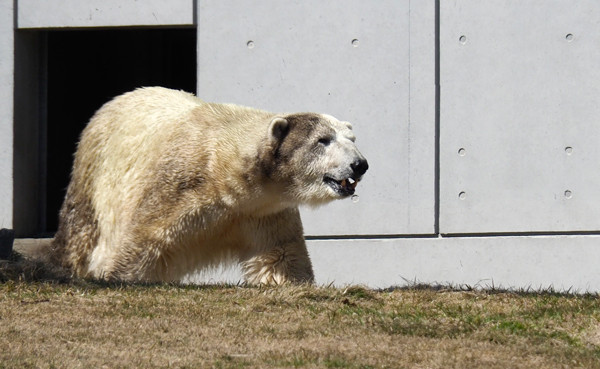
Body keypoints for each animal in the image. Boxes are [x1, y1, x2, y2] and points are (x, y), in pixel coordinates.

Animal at [51, 87, 368, 284]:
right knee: (80, 231)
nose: (360, 164)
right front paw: (118, 277)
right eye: (322, 140)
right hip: (94, 173)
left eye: (351, 139)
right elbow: (141, 241)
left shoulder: (264, 212)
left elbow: (281, 257)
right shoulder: (178, 188)